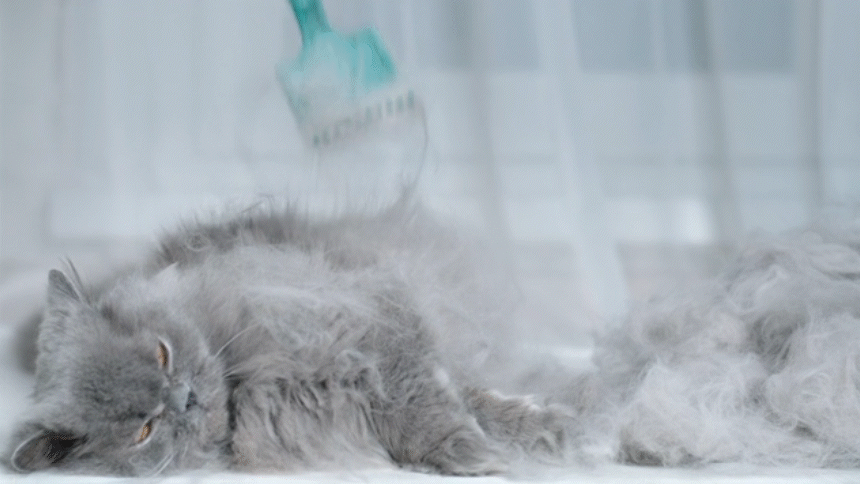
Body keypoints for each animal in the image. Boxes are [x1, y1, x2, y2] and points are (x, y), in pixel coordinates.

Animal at [6, 200, 575, 476]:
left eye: (162, 353)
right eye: (144, 430)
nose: (184, 398)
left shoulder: (377, 325)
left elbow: (432, 405)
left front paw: (513, 439)